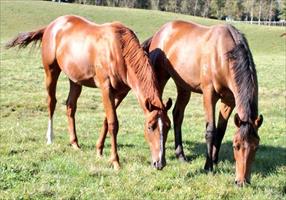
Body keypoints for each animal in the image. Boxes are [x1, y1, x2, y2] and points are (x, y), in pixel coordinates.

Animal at [6, 14, 172, 170]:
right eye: (150, 127)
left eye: (168, 126)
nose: (160, 163)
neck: (119, 50)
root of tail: (51, 26)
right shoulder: (106, 88)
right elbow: (113, 123)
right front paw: (115, 162)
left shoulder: (120, 93)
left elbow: (106, 120)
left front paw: (99, 151)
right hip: (51, 71)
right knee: (51, 102)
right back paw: (50, 138)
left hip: (75, 80)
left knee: (70, 106)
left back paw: (74, 143)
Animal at [143, 20, 264, 186]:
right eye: (236, 146)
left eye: (256, 147)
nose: (242, 182)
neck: (224, 55)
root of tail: (159, 32)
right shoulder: (209, 94)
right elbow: (210, 130)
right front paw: (208, 166)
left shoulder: (229, 100)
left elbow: (221, 130)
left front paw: (215, 159)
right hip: (159, 78)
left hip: (183, 86)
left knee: (177, 115)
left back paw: (181, 155)